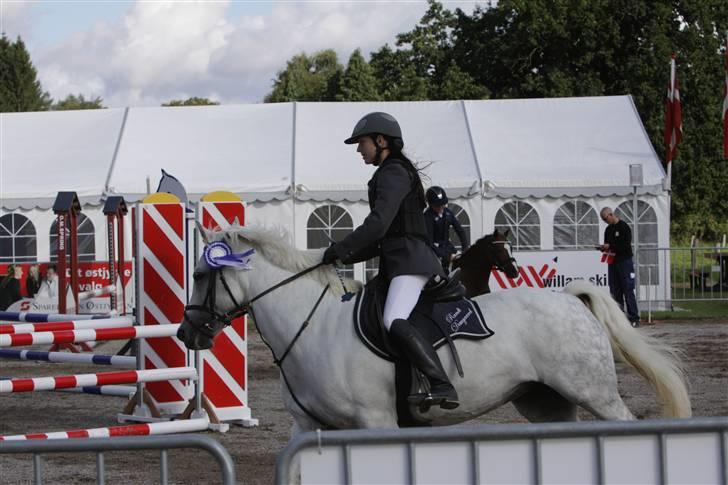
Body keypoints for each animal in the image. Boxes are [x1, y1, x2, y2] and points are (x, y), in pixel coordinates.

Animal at [179, 225, 692, 432]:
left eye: (202, 275)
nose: (187, 334)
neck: (312, 326)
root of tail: (570, 299)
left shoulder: (377, 422)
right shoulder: (307, 427)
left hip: (595, 393)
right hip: (545, 402)